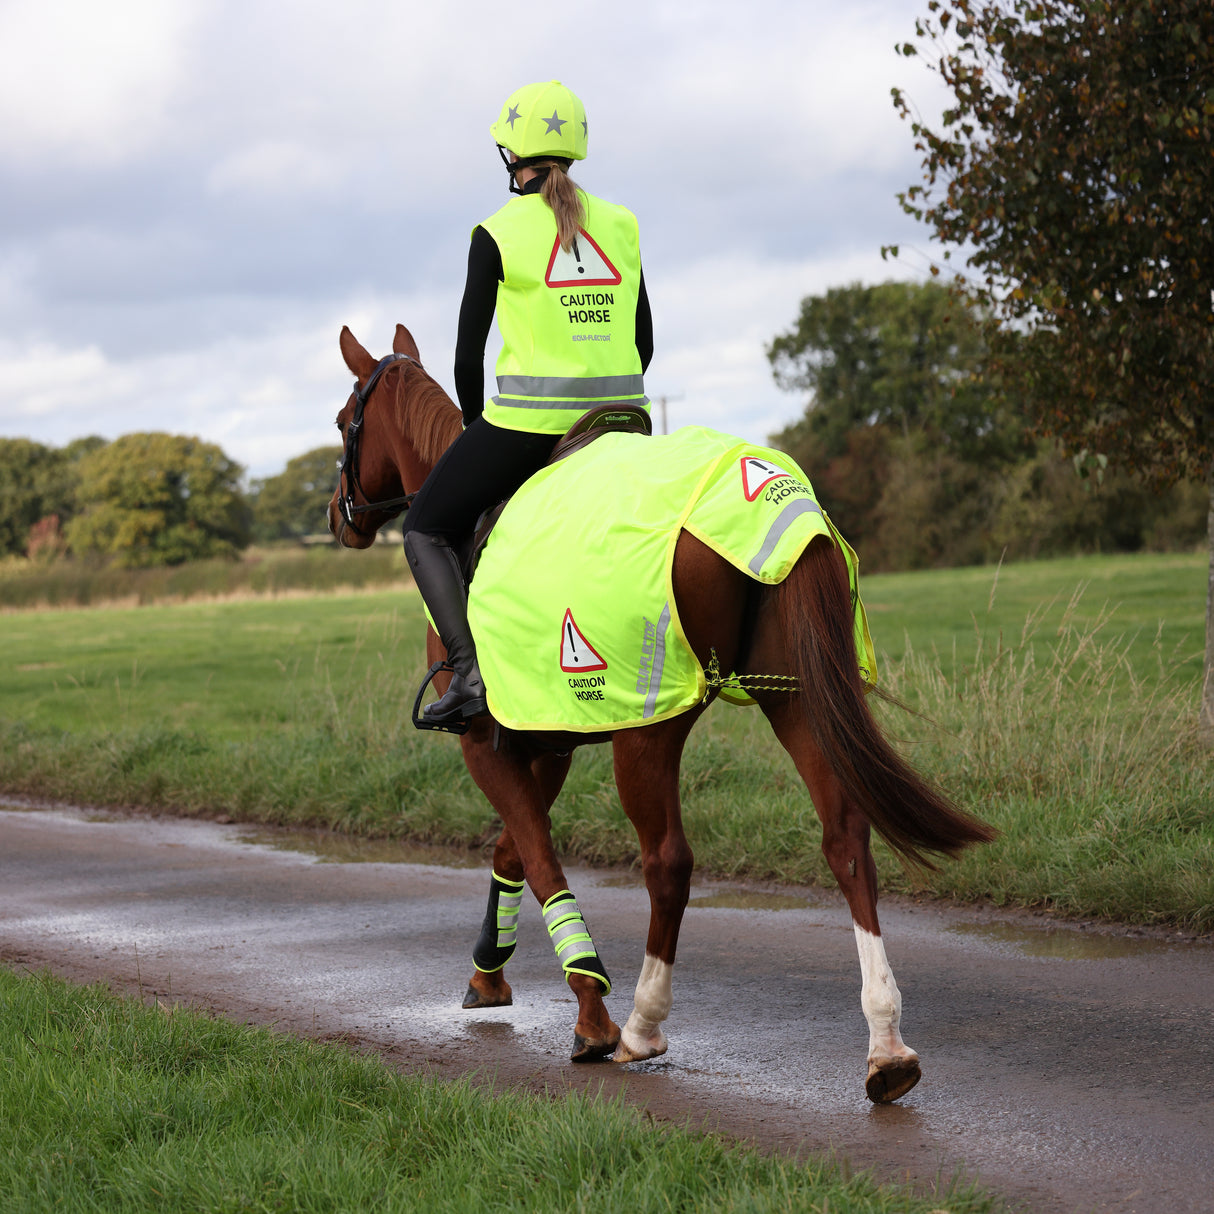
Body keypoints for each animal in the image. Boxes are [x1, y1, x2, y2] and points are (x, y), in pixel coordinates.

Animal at [327, 327, 990, 1107]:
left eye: (343, 422)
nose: (337, 517)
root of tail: (767, 484)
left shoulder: (488, 743)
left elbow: (539, 857)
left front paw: (589, 1012)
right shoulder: (545, 738)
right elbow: (512, 850)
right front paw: (489, 972)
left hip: (651, 726)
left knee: (669, 860)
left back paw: (642, 1025)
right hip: (794, 697)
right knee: (847, 840)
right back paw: (886, 1045)